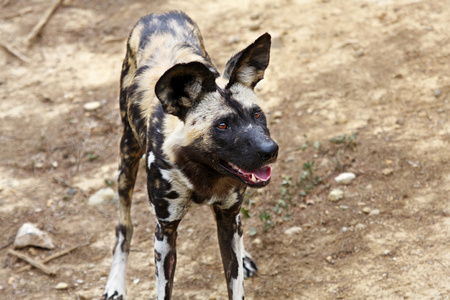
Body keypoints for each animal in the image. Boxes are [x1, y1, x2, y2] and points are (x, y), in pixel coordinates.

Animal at [102, 10, 278, 298]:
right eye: (222, 125)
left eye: (256, 114)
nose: (270, 150)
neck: (202, 169)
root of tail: (159, 13)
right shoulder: (165, 232)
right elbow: (164, 289)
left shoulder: (228, 218)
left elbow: (235, 283)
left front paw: (241, 261)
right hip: (126, 159)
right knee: (123, 226)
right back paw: (116, 283)